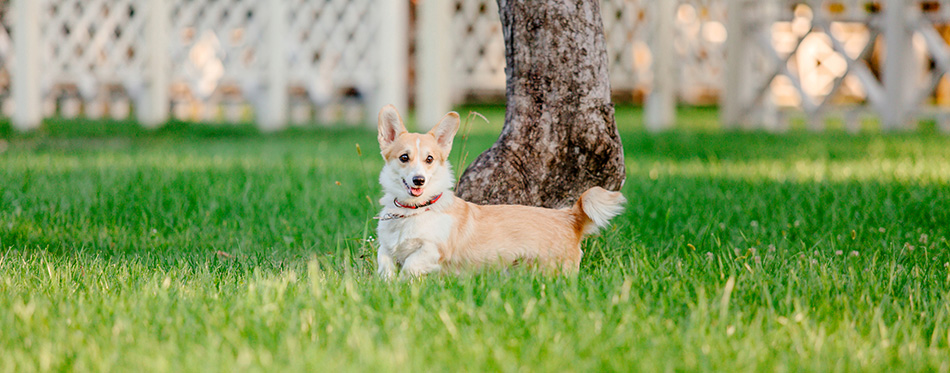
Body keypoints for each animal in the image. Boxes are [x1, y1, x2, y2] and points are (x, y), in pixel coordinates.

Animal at [376, 104, 628, 280]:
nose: (419, 180)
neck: (413, 210)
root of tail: (570, 217)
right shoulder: (386, 249)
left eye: (429, 159)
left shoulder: (432, 250)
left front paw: (401, 283)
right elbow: (385, 263)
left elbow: (411, 265)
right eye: (404, 157)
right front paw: (387, 284)